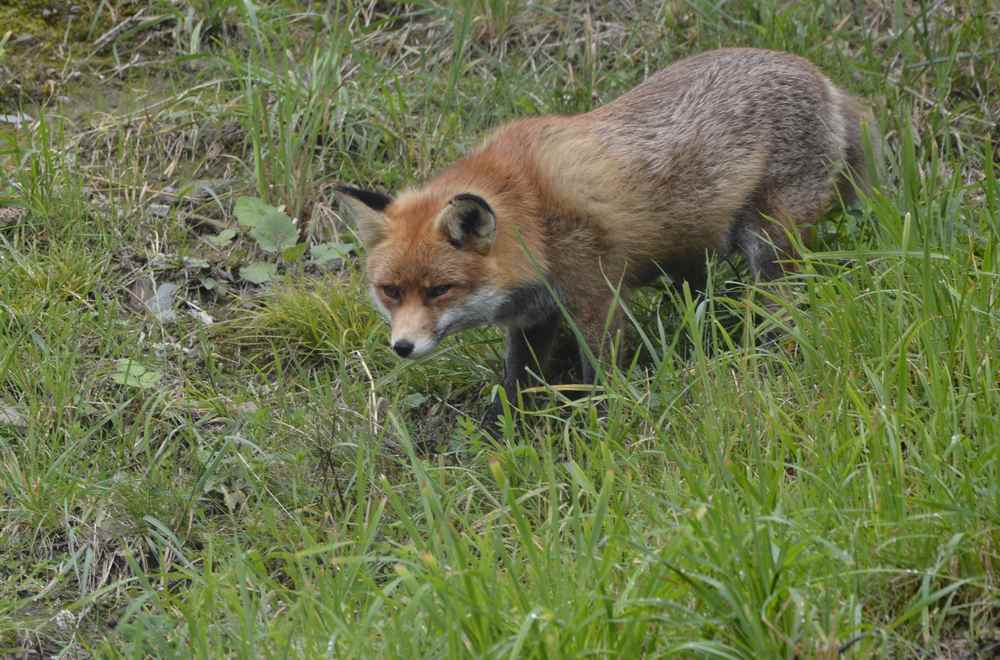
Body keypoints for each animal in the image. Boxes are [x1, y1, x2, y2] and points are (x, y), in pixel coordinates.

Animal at [334, 45, 876, 428]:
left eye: (439, 290)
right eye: (390, 291)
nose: (402, 347)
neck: (533, 215)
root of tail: (825, 79)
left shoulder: (599, 297)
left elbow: (599, 381)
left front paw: (598, 435)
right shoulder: (533, 317)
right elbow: (516, 385)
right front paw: (503, 438)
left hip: (770, 244)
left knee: (781, 308)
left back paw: (765, 355)